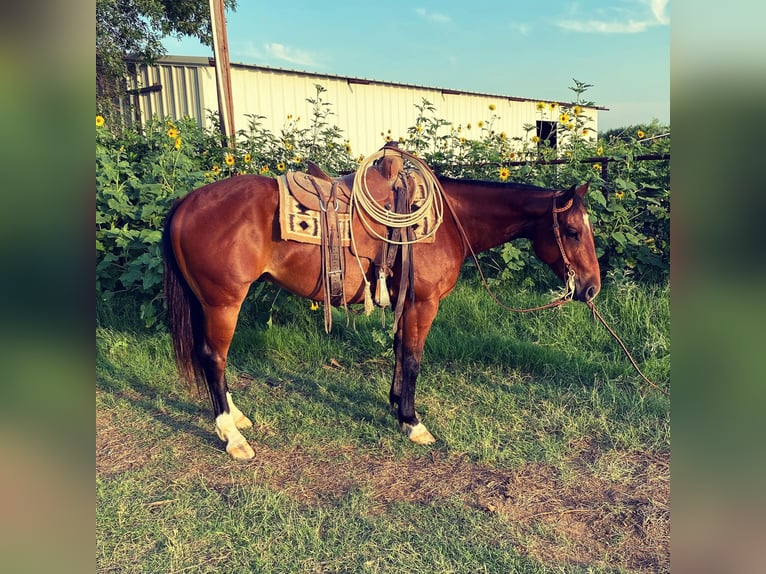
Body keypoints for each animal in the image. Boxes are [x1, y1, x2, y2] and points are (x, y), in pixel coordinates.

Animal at [162, 155, 604, 462]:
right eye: (572, 231)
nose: (591, 288)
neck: (447, 222)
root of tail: (185, 203)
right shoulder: (423, 303)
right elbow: (412, 358)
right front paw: (413, 422)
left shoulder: (406, 302)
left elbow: (398, 350)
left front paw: (395, 405)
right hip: (223, 302)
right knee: (213, 357)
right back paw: (233, 437)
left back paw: (236, 418)